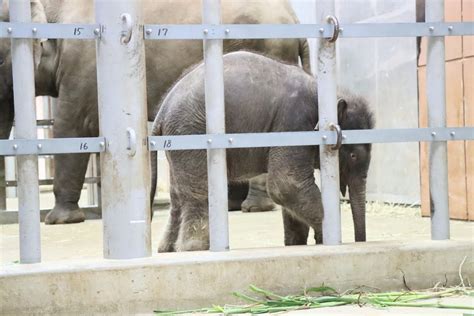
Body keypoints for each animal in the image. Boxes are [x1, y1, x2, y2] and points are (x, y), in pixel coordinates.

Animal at [0, 0, 310, 225]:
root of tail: (296, 21)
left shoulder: (83, 65)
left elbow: (74, 126)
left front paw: (59, 221)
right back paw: (233, 206)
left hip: (264, 49)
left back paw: (252, 208)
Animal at [152, 51, 374, 252]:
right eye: (353, 155)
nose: (359, 241)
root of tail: (161, 112)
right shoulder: (293, 122)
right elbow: (286, 185)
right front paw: (323, 239)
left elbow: (288, 190)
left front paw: (295, 243)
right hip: (191, 132)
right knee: (199, 193)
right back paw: (194, 249)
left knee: (177, 195)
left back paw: (167, 249)